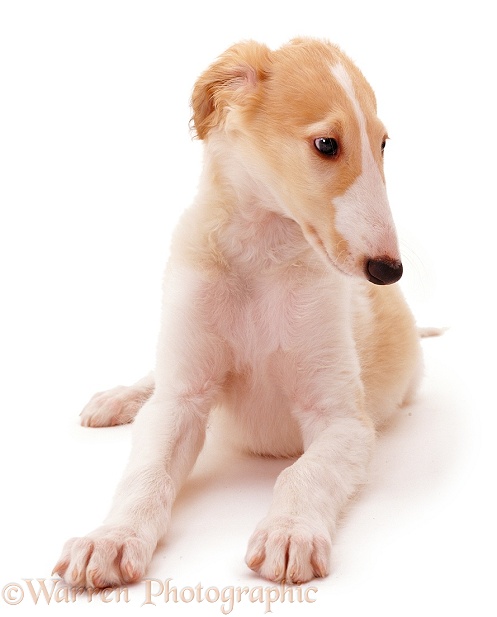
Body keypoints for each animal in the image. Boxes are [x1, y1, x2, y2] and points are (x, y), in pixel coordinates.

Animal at [55, 36, 422, 584]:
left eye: (382, 144)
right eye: (326, 144)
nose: (388, 270)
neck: (260, 259)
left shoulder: (342, 420)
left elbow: (303, 471)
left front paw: (289, 532)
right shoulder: (181, 400)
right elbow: (147, 473)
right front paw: (111, 539)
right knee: (156, 380)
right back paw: (119, 397)